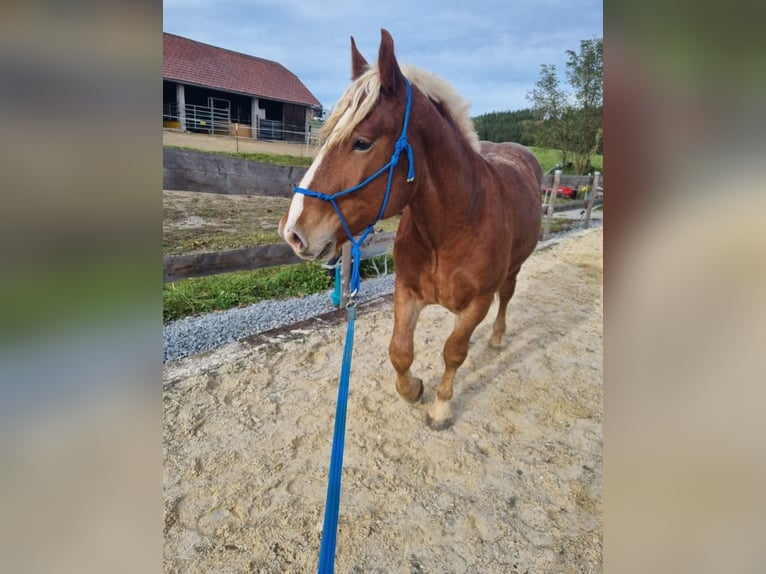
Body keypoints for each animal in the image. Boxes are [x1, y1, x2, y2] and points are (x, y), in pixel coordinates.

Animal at [280, 28, 544, 432]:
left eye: (361, 142)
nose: (293, 232)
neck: (453, 228)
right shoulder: (406, 291)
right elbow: (400, 351)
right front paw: (414, 389)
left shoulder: (477, 304)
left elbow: (454, 352)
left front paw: (441, 407)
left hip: (513, 270)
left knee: (507, 296)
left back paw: (498, 338)